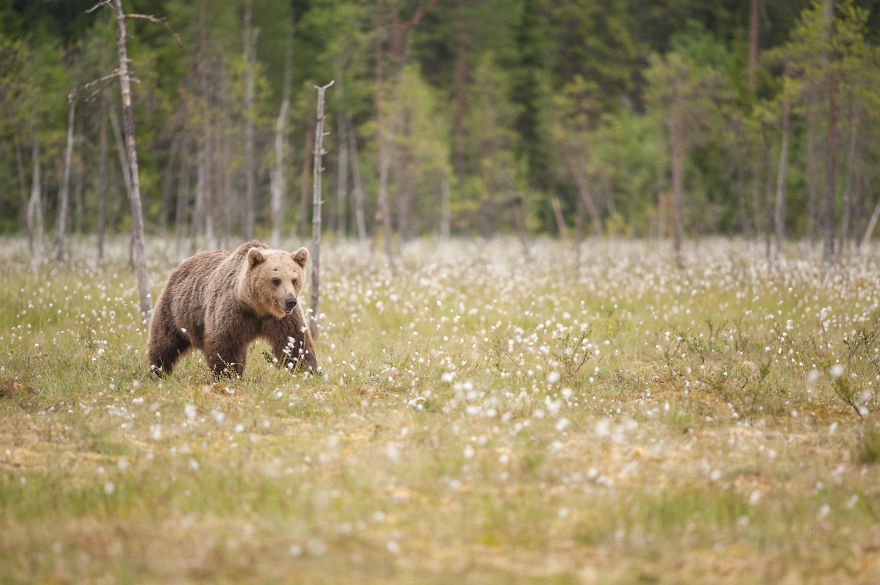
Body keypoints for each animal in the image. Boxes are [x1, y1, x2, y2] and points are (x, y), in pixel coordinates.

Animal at [147, 240, 317, 378]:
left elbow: (295, 341)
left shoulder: (280, 319)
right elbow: (226, 343)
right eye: (276, 280)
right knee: (164, 341)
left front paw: (307, 370)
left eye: (294, 280)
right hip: (176, 309)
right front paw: (227, 374)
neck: (257, 307)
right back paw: (158, 370)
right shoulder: (233, 310)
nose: (290, 301)